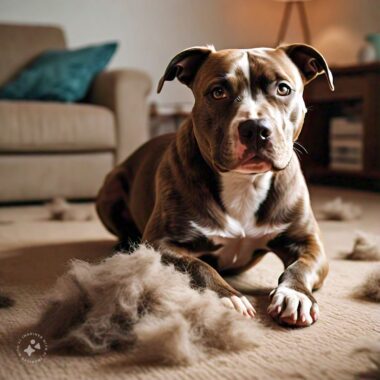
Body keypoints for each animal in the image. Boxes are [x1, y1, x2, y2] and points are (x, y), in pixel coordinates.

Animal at [96, 43, 334, 326]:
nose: (255, 128)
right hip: (110, 190)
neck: (244, 182)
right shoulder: (160, 243)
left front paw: (294, 295)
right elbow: (199, 266)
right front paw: (227, 298)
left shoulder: (307, 242)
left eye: (283, 89)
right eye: (218, 92)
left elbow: (300, 267)